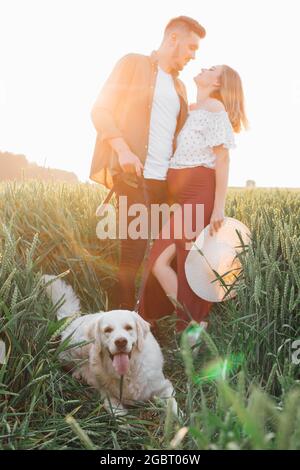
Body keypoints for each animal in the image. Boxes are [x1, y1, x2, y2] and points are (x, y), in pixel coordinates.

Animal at [43, 276, 177, 414]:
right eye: (107, 330)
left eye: (129, 327)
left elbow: (172, 406)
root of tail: (73, 320)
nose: (121, 341)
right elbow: (116, 411)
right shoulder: (106, 393)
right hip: (74, 349)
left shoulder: (163, 386)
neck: (127, 374)